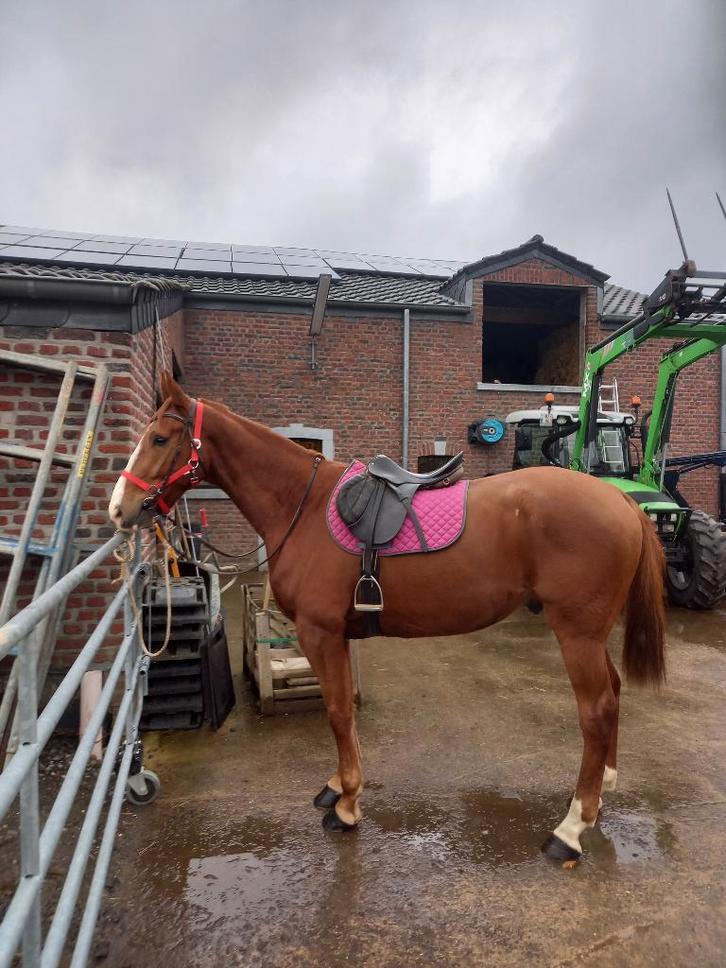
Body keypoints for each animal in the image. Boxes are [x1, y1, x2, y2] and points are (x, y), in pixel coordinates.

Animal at [108, 372, 666, 864]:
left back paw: (571, 827)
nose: (119, 508)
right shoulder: (335, 636)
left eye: (160, 437)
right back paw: (603, 789)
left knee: (595, 711)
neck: (302, 506)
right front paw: (339, 787)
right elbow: (344, 715)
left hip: (576, 634)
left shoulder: (320, 633)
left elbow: (337, 713)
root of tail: (619, 499)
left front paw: (348, 805)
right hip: (590, 635)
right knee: (613, 694)